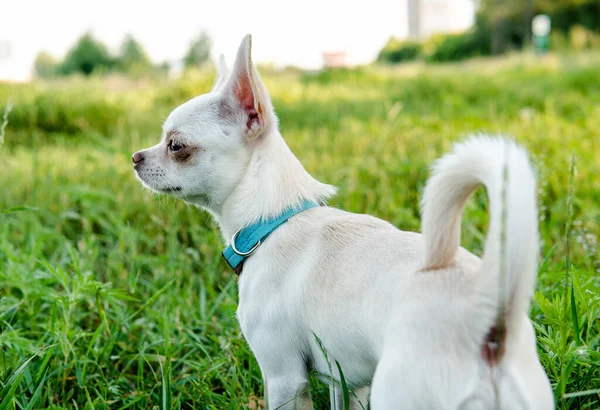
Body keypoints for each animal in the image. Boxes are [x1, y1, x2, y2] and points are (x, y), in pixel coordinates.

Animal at [134, 35, 556, 410]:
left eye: (176, 145)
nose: (136, 157)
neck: (274, 222)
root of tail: (491, 319)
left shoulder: (283, 376)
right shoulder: (350, 382)